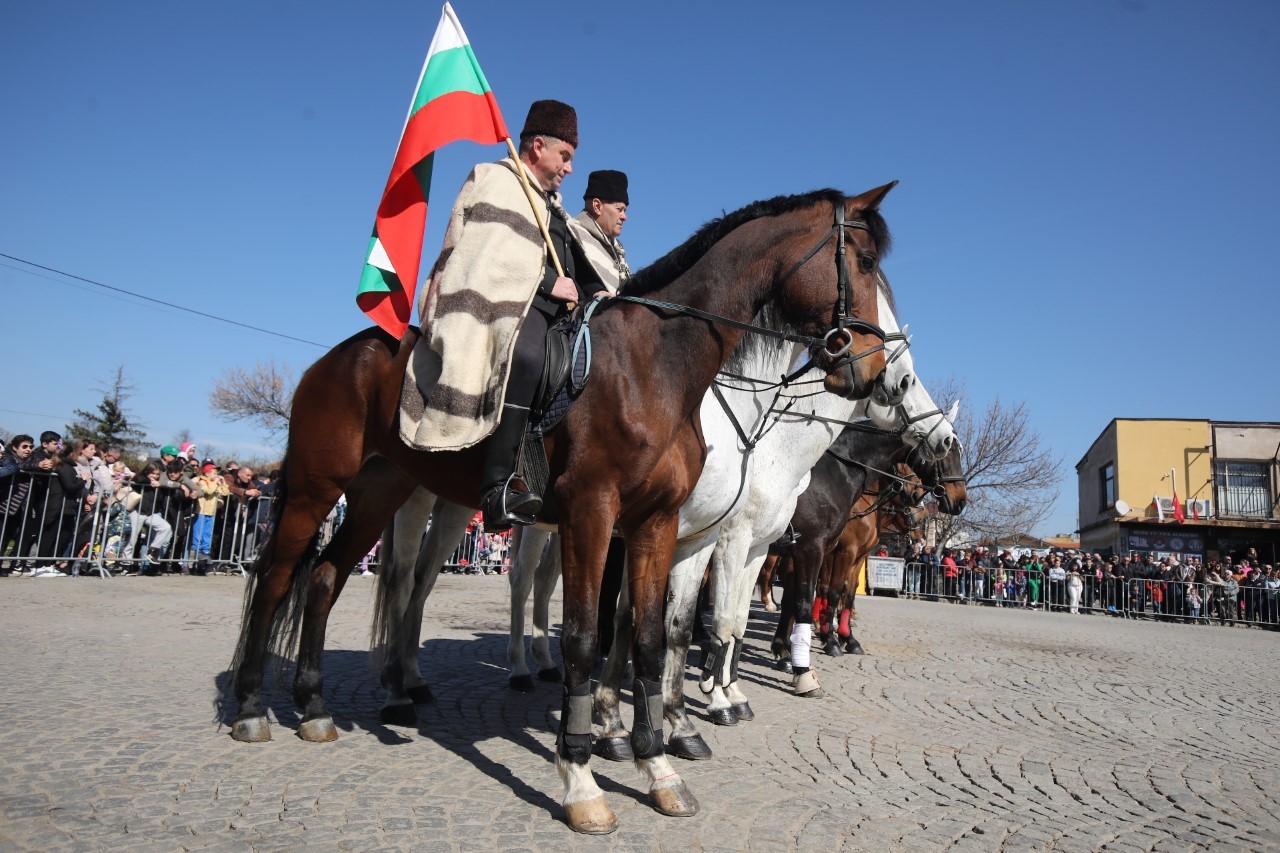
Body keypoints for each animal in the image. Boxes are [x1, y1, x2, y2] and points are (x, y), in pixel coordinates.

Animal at [225, 180, 896, 829]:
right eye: (865, 263)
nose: (874, 370)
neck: (654, 363)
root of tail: (344, 353)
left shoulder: (658, 525)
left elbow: (650, 637)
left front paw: (660, 769)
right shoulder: (593, 516)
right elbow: (583, 636)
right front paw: (582, 779)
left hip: (375, 494)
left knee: (326, 579)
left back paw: (314, 705)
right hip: (319, 491)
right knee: (284, 579)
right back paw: (257, 706)